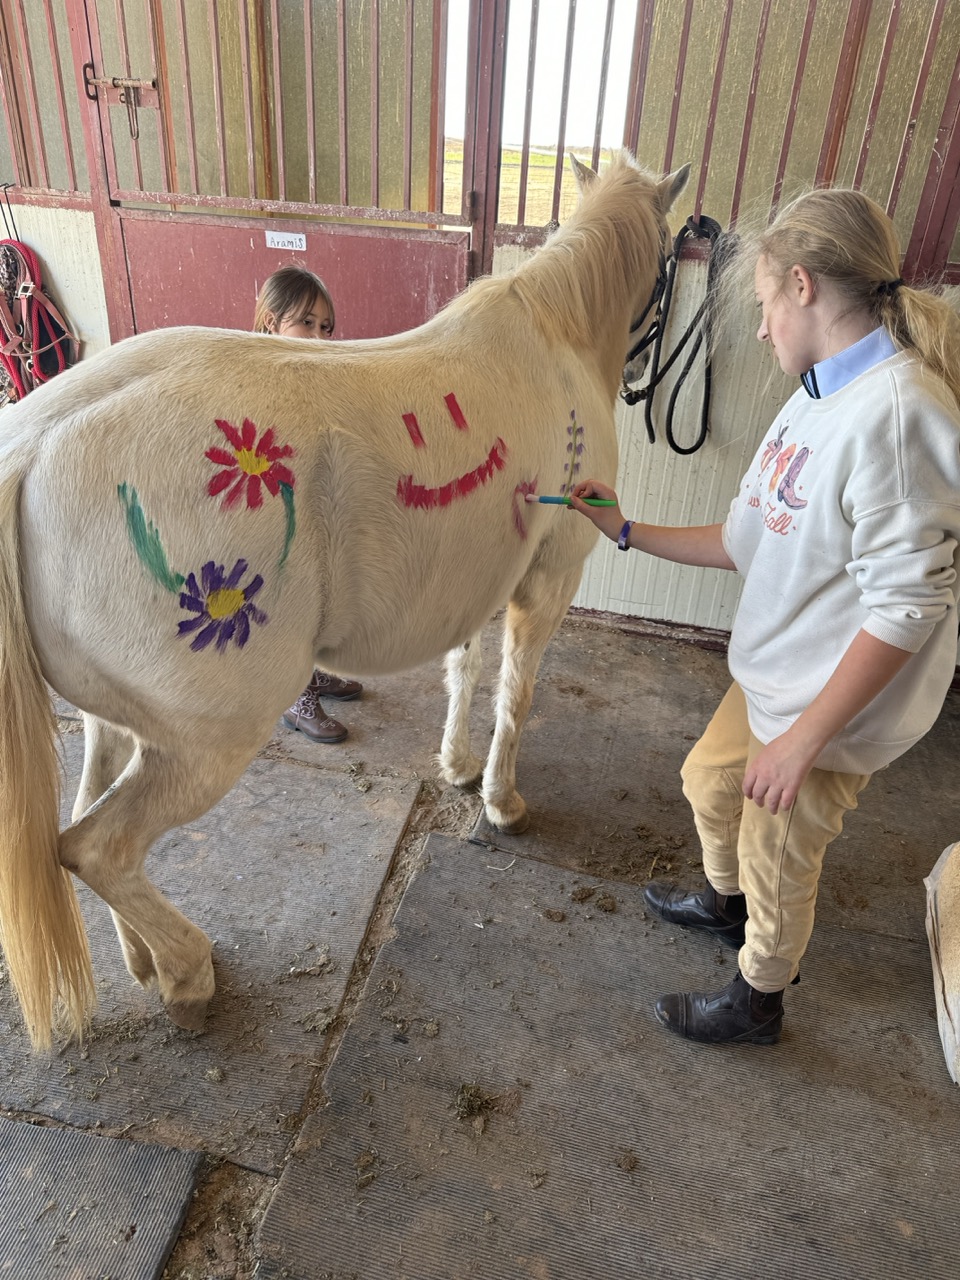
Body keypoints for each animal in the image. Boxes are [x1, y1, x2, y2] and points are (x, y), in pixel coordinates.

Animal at [0, 151, 688, 1050]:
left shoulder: (475, 584)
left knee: (83, 821)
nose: (643, 371)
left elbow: (465, 674)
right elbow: (516, 694)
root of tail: (33, 444)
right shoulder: (547, 580)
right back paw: (188, 975)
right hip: (206, 742)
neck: (554, 334)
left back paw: (145, 962)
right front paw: (501, 801)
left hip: (115, 721)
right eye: (675, 256)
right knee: (95, 849)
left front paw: (457, 768)